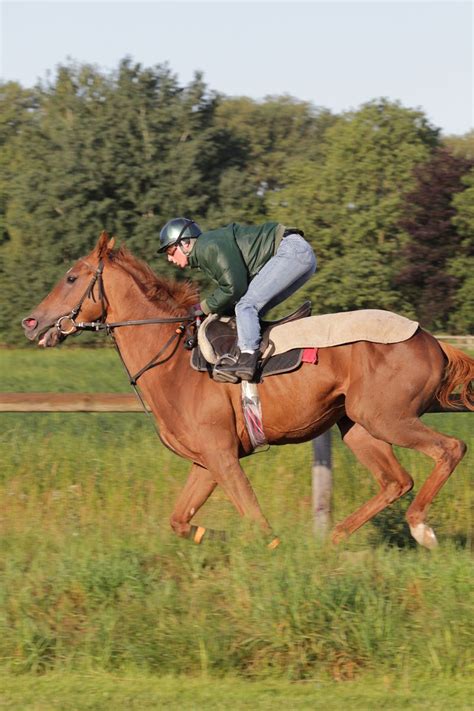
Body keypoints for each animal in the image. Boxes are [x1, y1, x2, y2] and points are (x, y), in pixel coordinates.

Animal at [21, 234, 470, 552]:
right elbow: (179, 521)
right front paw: (218, 537)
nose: (31, 322)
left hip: (387, 417)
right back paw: (336, 537)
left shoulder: (221, 455)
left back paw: (421, 528)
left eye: (71, 277)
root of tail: (433, 341)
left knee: (450, 448)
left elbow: (256, 521)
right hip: (358, 426)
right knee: (396, 480)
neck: (173, 360)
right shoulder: (205, 460)